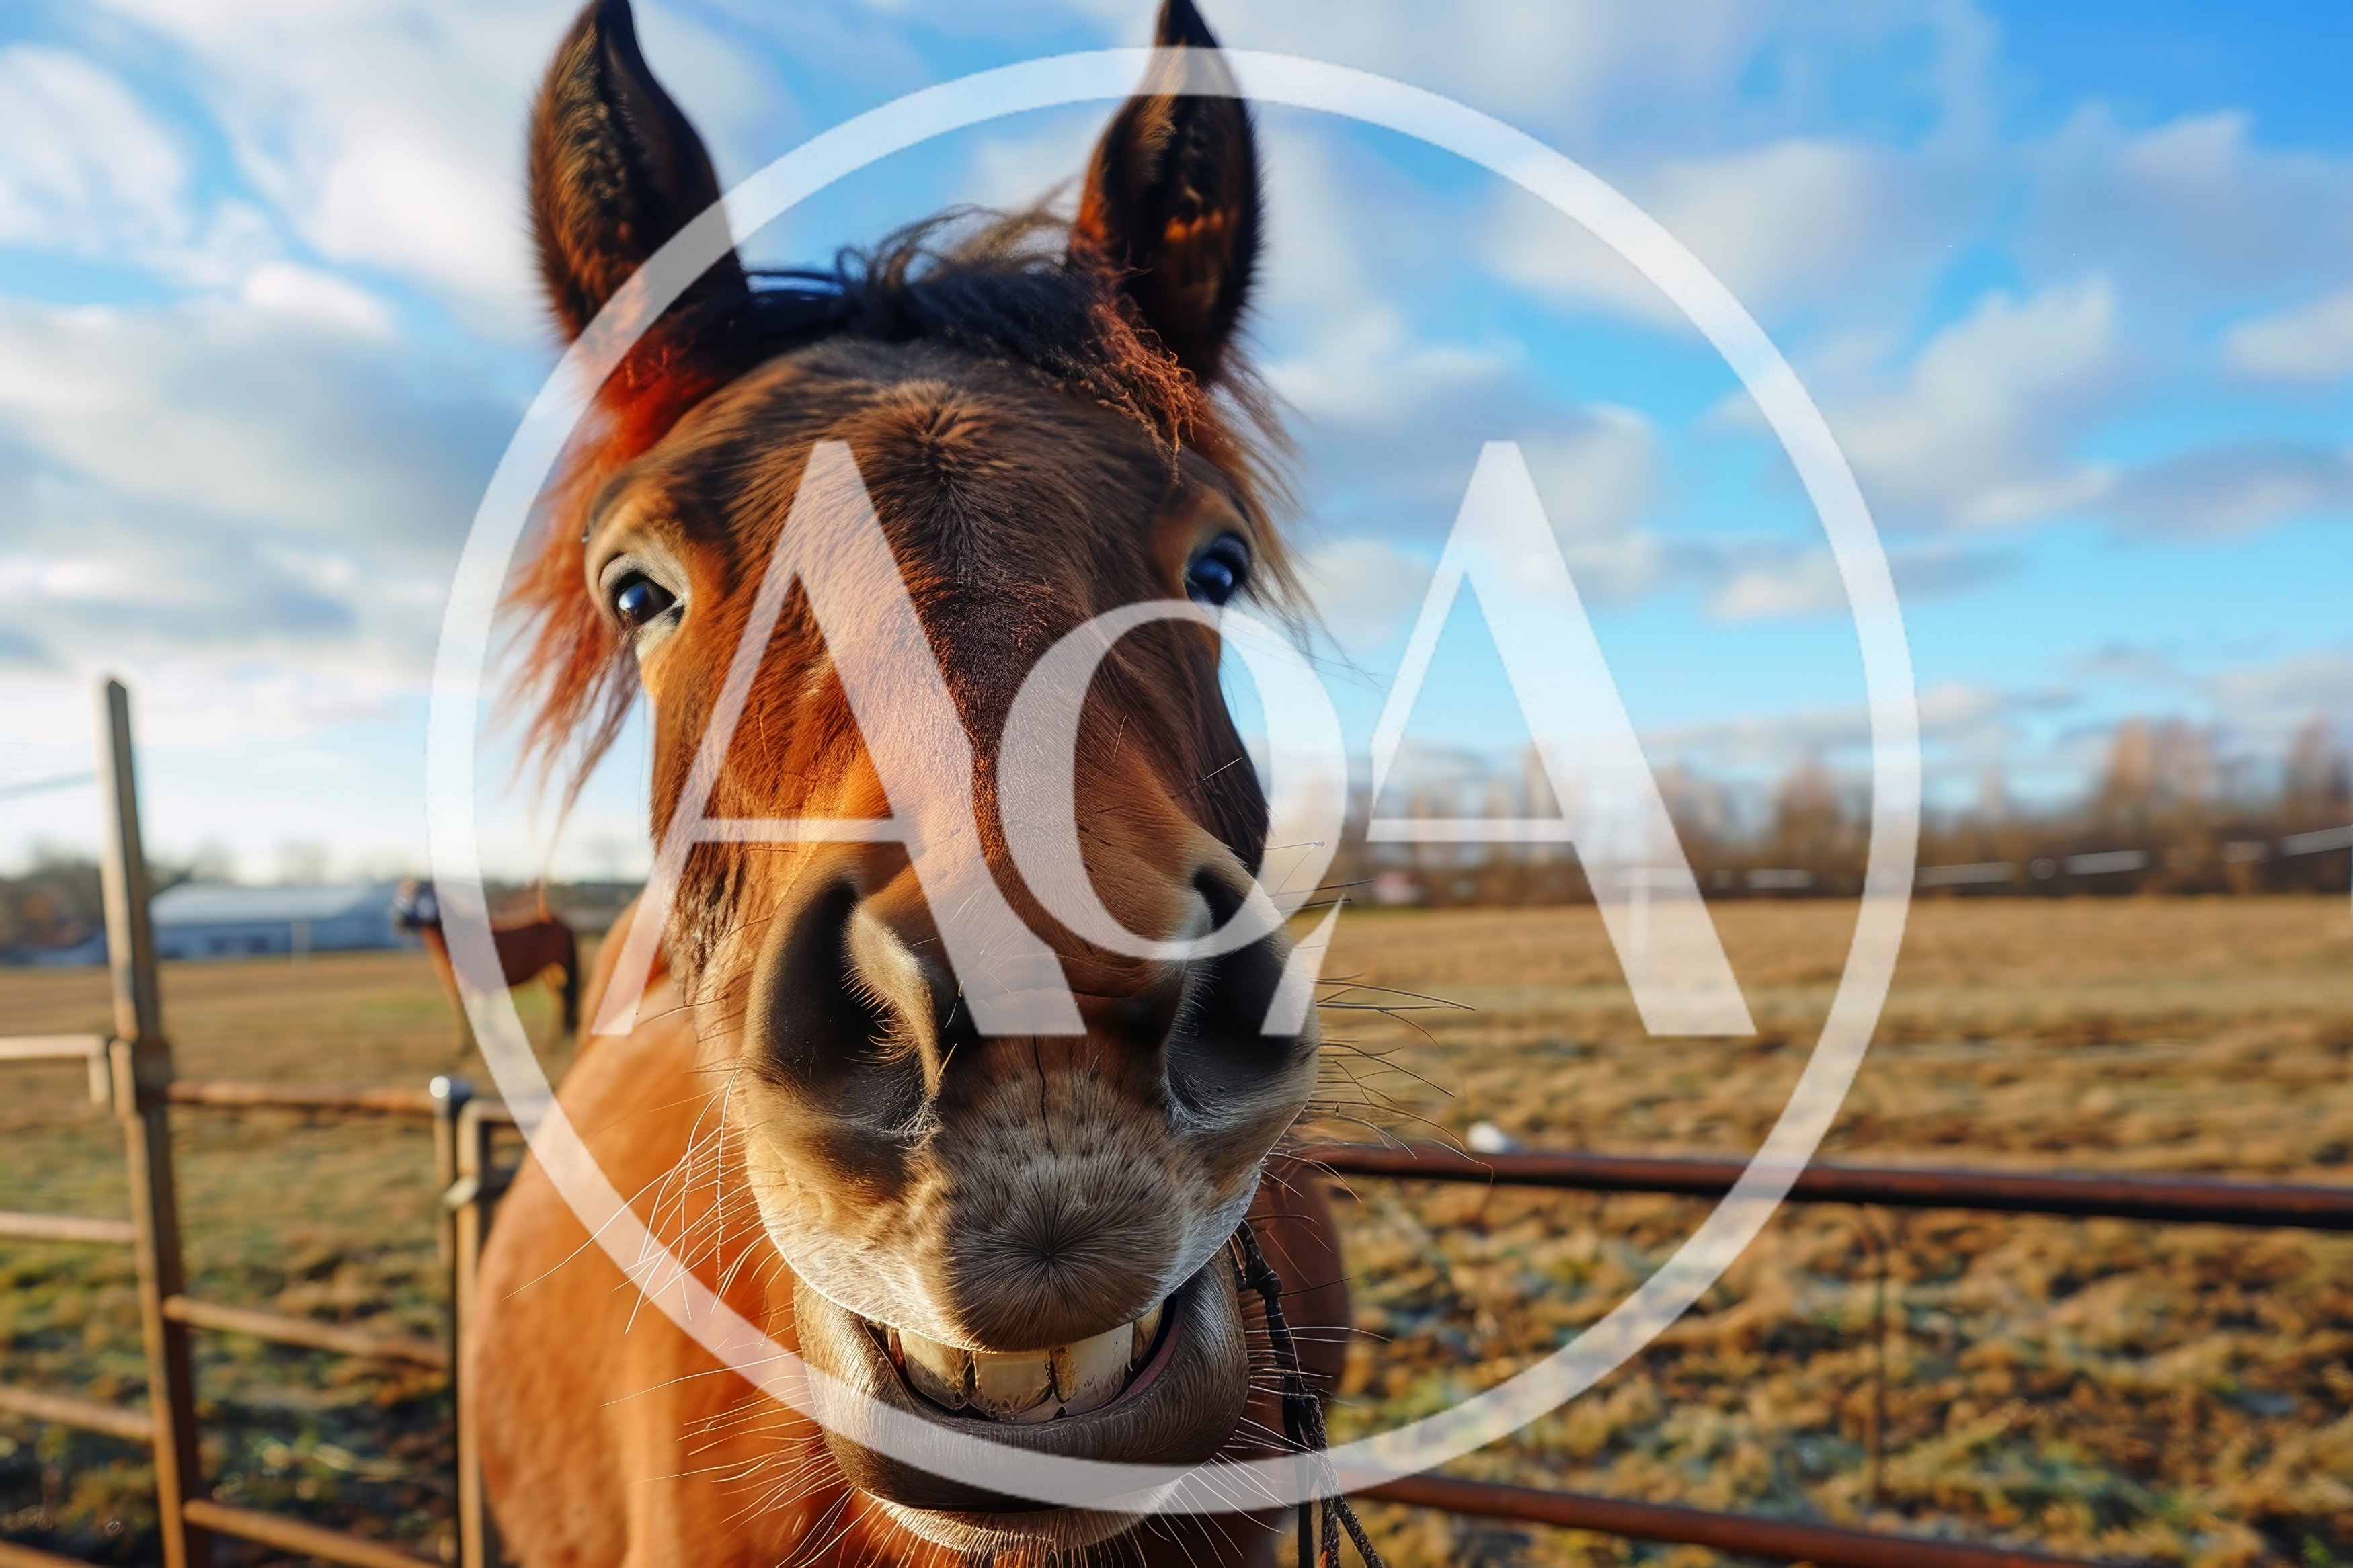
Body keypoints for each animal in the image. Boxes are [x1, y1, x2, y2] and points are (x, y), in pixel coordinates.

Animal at [393, 879, 581, 1046]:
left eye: (422, 894)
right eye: (402, 894)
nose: (399, 921)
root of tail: (558, 921)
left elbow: (481, 1017)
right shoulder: (453, 983)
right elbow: (463, 1012)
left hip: (560, 968)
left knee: (566, 998)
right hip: (549, 972)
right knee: (560, 1000)